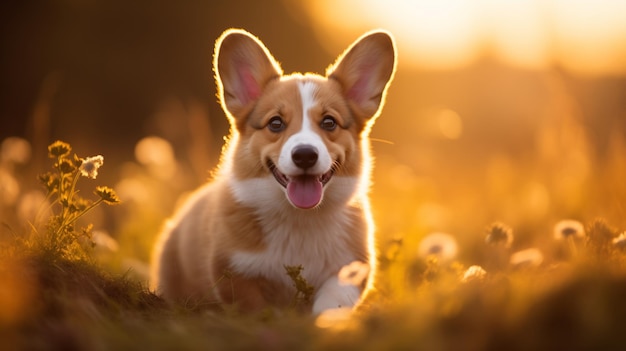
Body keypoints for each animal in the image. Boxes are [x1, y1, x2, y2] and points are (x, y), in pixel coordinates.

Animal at [151, 28, 394, 314]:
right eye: (275, 123)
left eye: (329, 122)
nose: (305, 155)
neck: (299, 220)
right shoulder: (236, 273)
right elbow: (257, 308)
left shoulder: (350, 268)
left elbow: (333, 299)